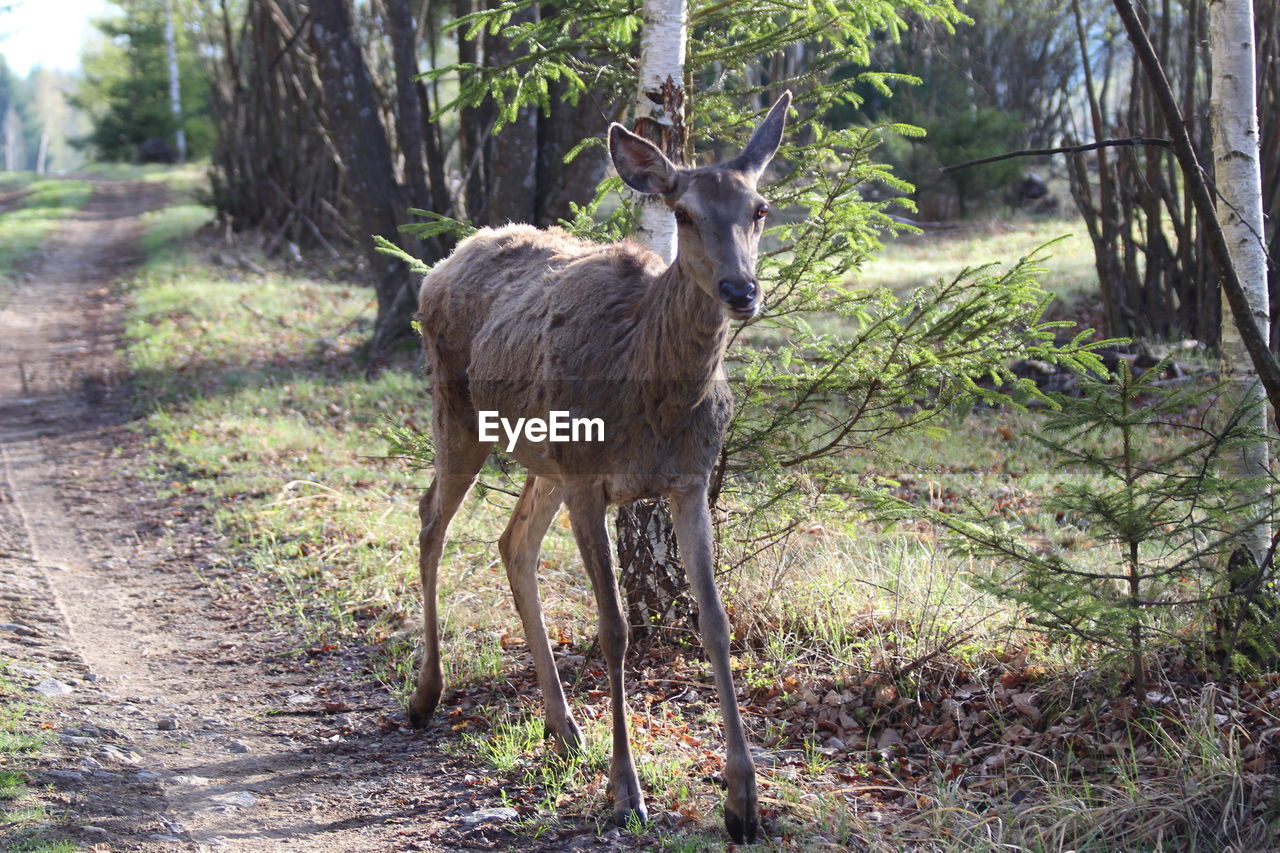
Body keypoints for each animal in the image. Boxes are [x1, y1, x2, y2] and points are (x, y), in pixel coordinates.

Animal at [409, 89, 788, 840]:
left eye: (759, 208)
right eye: (682, 212)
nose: (741, 290)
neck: (660, 402)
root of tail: (444, 260)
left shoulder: (688, 481)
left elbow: (715, 620)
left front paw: (743, 801)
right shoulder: (589, 480)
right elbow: (614, 630)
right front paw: (626, 792)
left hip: (545, 457)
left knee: (511, 541)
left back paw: (561, 726)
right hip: (461, 414)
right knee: (432, 518)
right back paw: (426, 694)